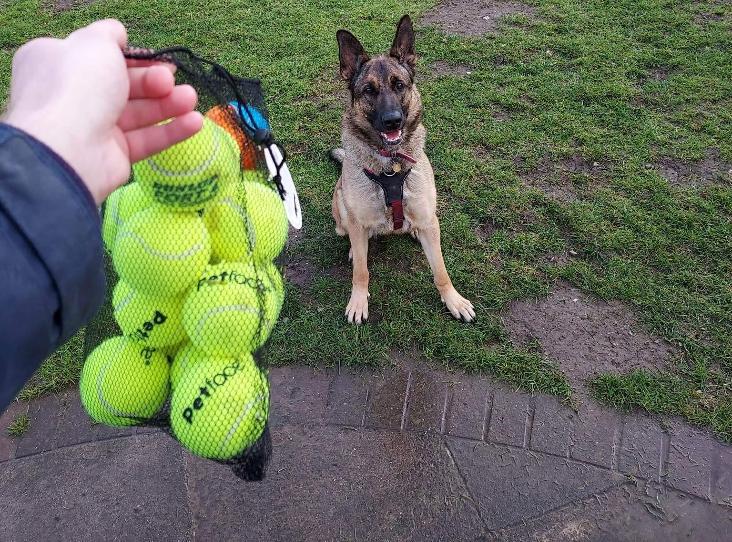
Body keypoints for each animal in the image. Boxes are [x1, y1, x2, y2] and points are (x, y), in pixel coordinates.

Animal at [330, 14, 474, 326]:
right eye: (368, 90)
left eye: (399, 85)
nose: (392, 121)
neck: (391, 166)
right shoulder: (358, 221)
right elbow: (361, 272)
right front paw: (358, 300)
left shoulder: (428, 219)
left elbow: (440, 270)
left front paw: (453, 300)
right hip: (339, 202)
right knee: (350, 233)